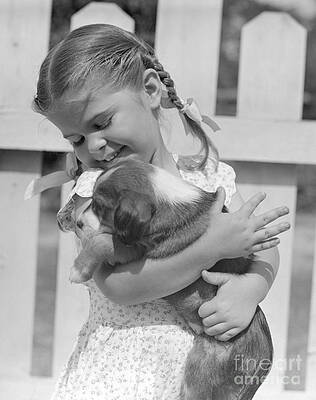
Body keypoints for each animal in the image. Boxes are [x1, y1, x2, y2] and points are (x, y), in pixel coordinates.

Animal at [73, 159, 272, 400]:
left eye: (100, 207)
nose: (78, 223)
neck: (164, 198)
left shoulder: (134, 249)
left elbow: (101, 241)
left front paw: (78, 269)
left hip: (199, 380)